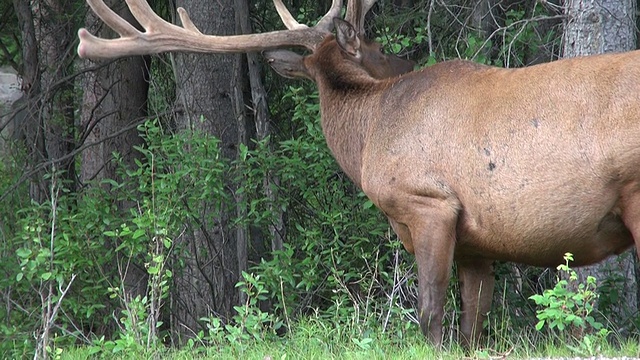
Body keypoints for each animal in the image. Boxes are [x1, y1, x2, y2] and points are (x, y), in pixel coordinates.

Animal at [79, 0, 640, 348]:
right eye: (379, 49)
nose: (408, 59)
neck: (369, 133)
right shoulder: (478, 241)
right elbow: (471, 326)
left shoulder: (428, 202)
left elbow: (429, 314)